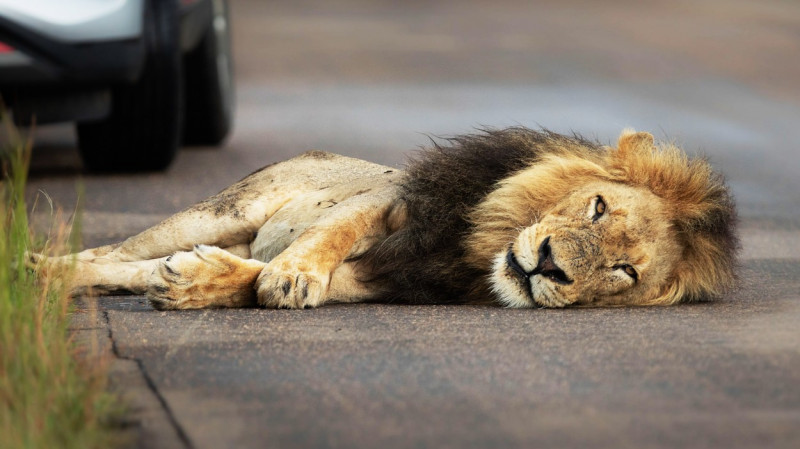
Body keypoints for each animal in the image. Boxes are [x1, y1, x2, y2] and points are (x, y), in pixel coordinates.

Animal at [43, 126, 740, 308]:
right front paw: (291, 275)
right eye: (598, 207)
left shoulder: (395, 279)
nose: (547, 266)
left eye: (624, 273)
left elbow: (264, 278)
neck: (475, 248)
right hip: (220, 211)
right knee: (110, 254)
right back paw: (37, 271)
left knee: (129, 267)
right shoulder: (400, 200)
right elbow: (332, 232)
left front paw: (197, 283)